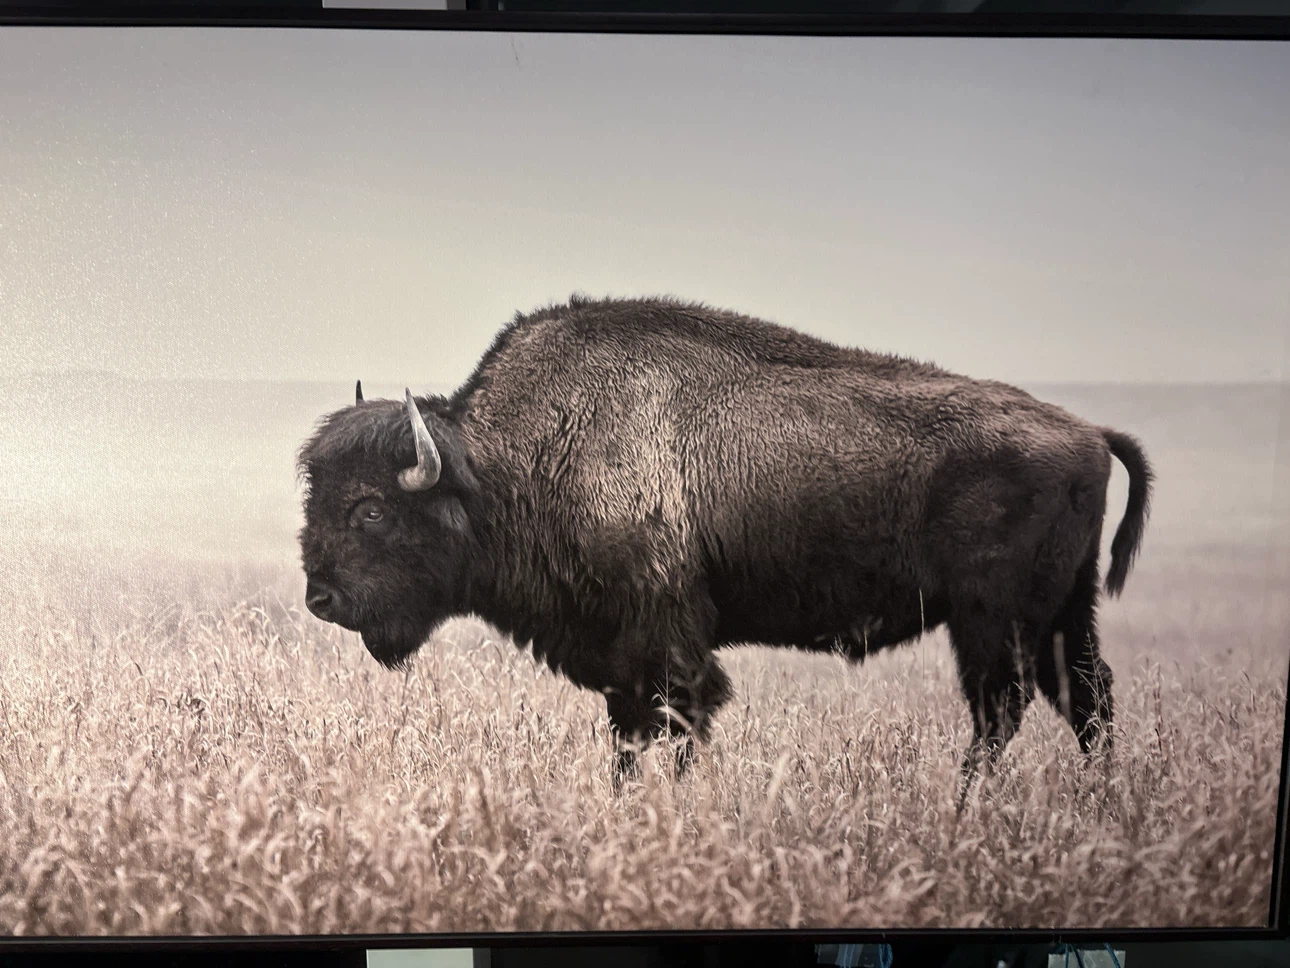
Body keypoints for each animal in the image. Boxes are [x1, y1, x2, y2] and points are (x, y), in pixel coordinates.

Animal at [297, 295, 1152, 783]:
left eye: (370, 509)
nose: (320, 598)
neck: (504, 464)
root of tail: (1088, 433)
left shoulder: (667, 643)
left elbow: (677, 722)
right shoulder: (622, 661)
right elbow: (630, 738)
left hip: (993, 620)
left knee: (1003, 710)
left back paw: (967, 809)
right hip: (1059, 615)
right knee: (1086, 698)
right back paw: (1104, 811)